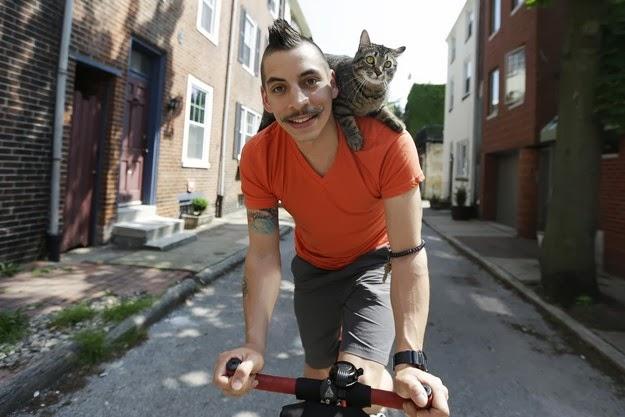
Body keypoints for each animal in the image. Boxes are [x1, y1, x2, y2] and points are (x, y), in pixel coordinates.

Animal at [258, 30, 408, 151]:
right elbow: (349, 122)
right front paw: (355, 138)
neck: (371, 92)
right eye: (370, 59)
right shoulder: (340, 105)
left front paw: (397, 122)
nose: (378, 72)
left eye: (388, 64)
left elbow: (385, 111)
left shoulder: (376, 107)